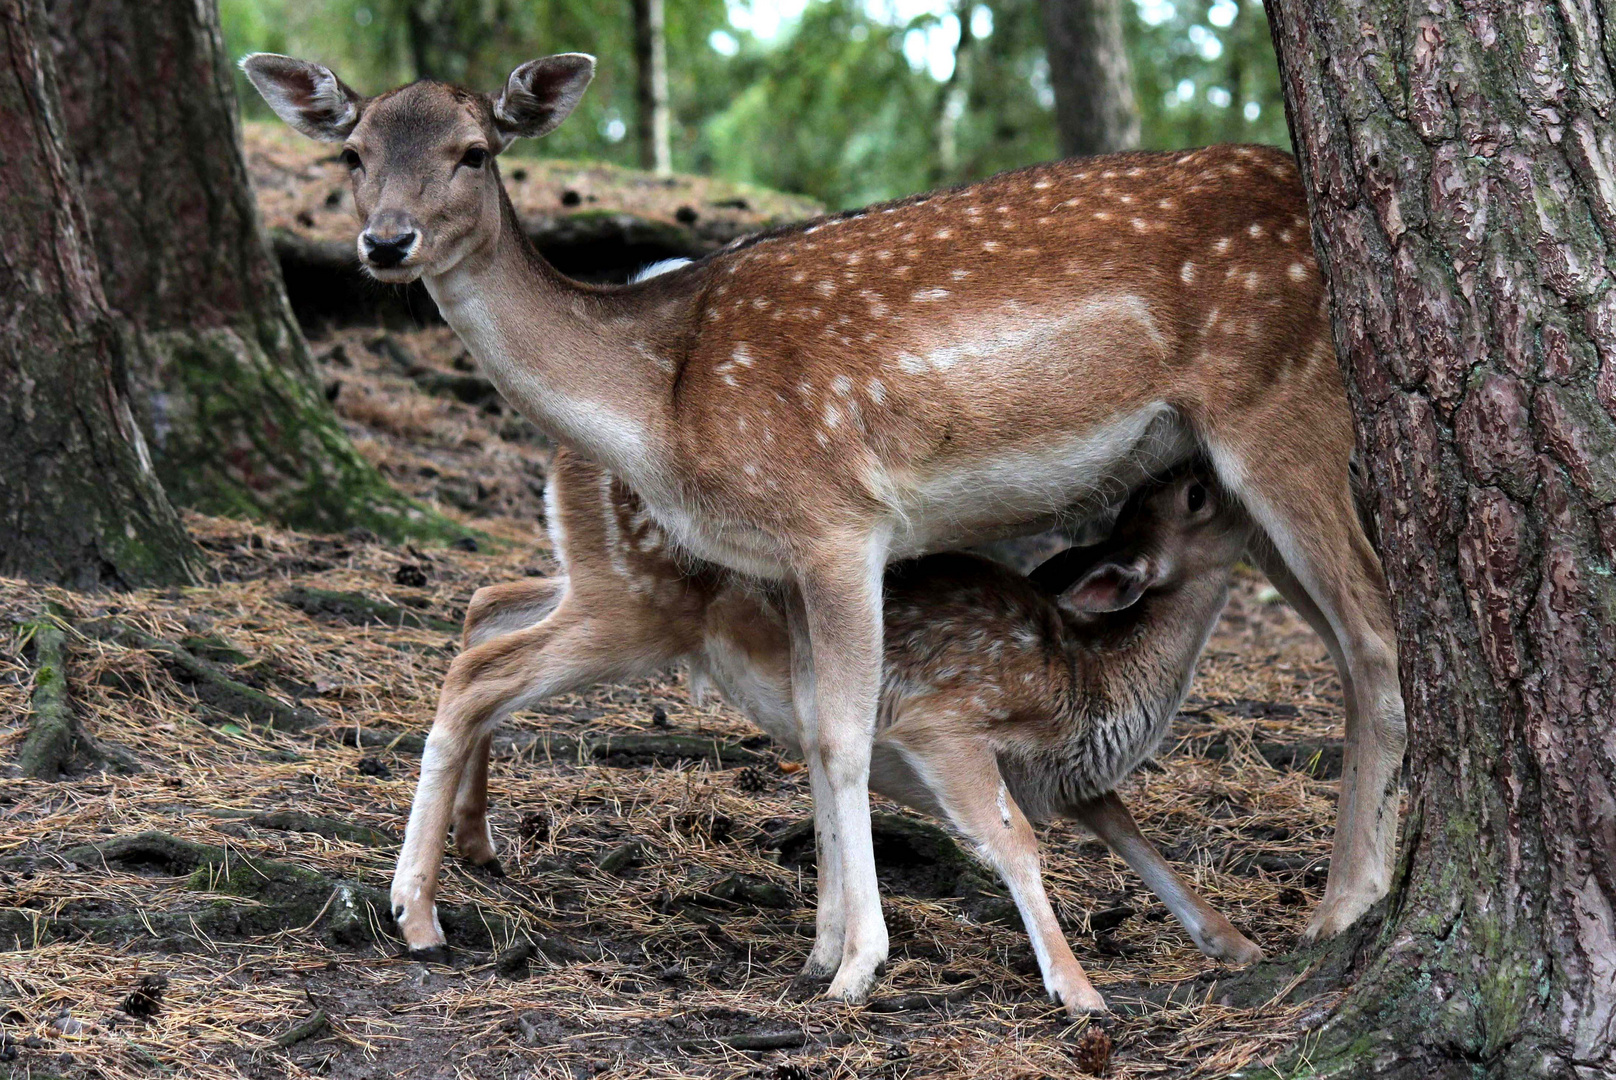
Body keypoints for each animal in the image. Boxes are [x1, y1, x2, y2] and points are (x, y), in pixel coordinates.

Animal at [245, 52, 1409, 1002]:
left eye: (476, 151)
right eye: (352, 150)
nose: (384, 241)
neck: (661, 401)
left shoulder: (836, 522)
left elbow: (848, 736)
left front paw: (857, 965)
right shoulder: (782, 562)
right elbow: (811, 732)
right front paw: (820, 952)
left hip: (1281, 416)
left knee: (1372, 631)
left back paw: (1346, 903)